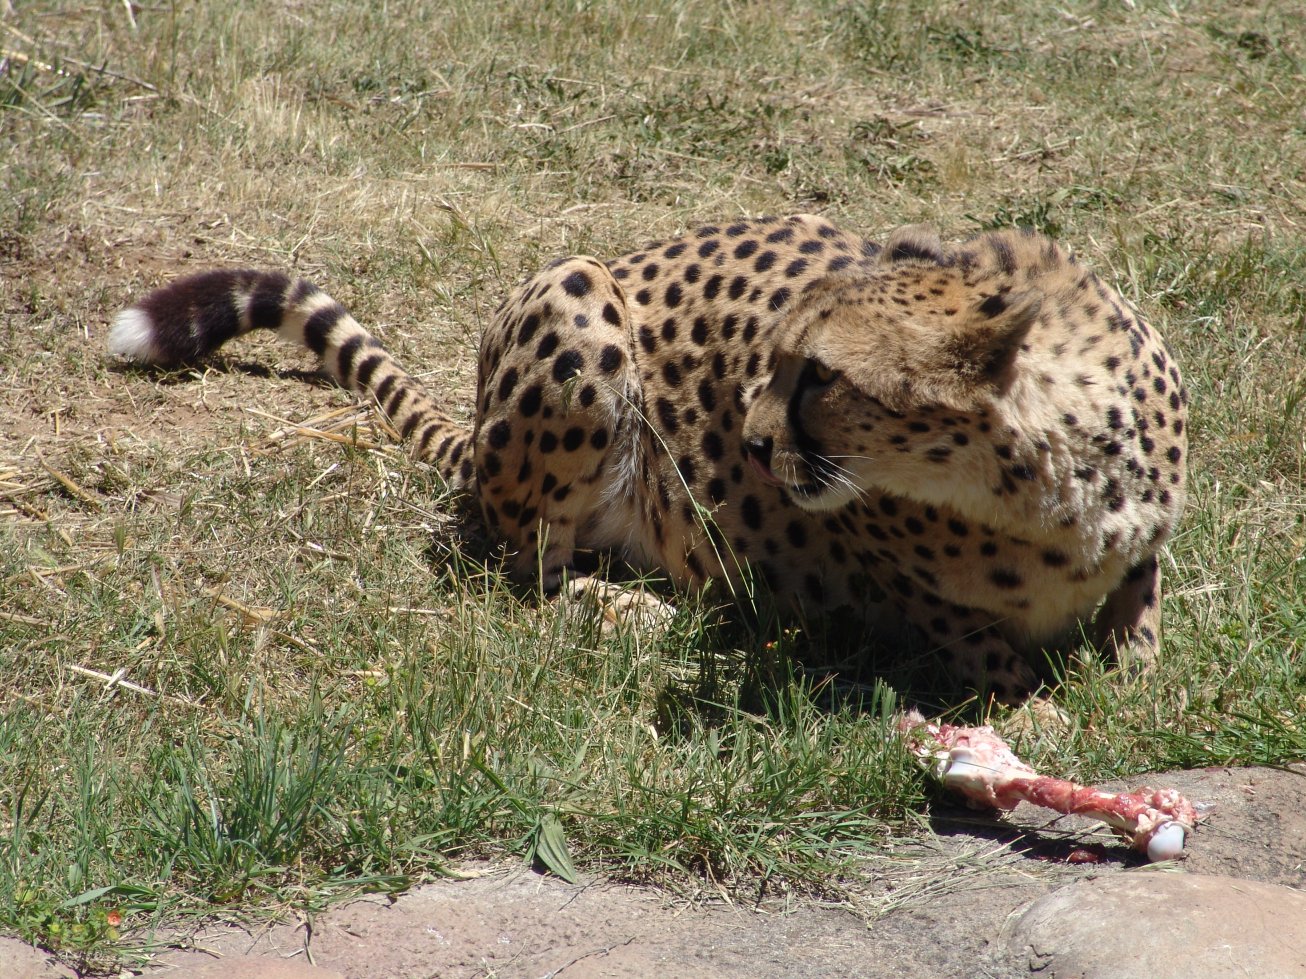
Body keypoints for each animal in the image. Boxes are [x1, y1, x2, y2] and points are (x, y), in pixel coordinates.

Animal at [109, 214, 1187, 702]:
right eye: (772, 360)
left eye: (821, 376)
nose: (749, 442)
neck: (1048, 478)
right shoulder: (895, 583)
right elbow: (983, 644)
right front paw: (1041, 709)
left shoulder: (1144, 536)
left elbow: (1141, 597)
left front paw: (1130, 672)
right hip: (576, 304)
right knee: (516, 564)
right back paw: (628, 606)